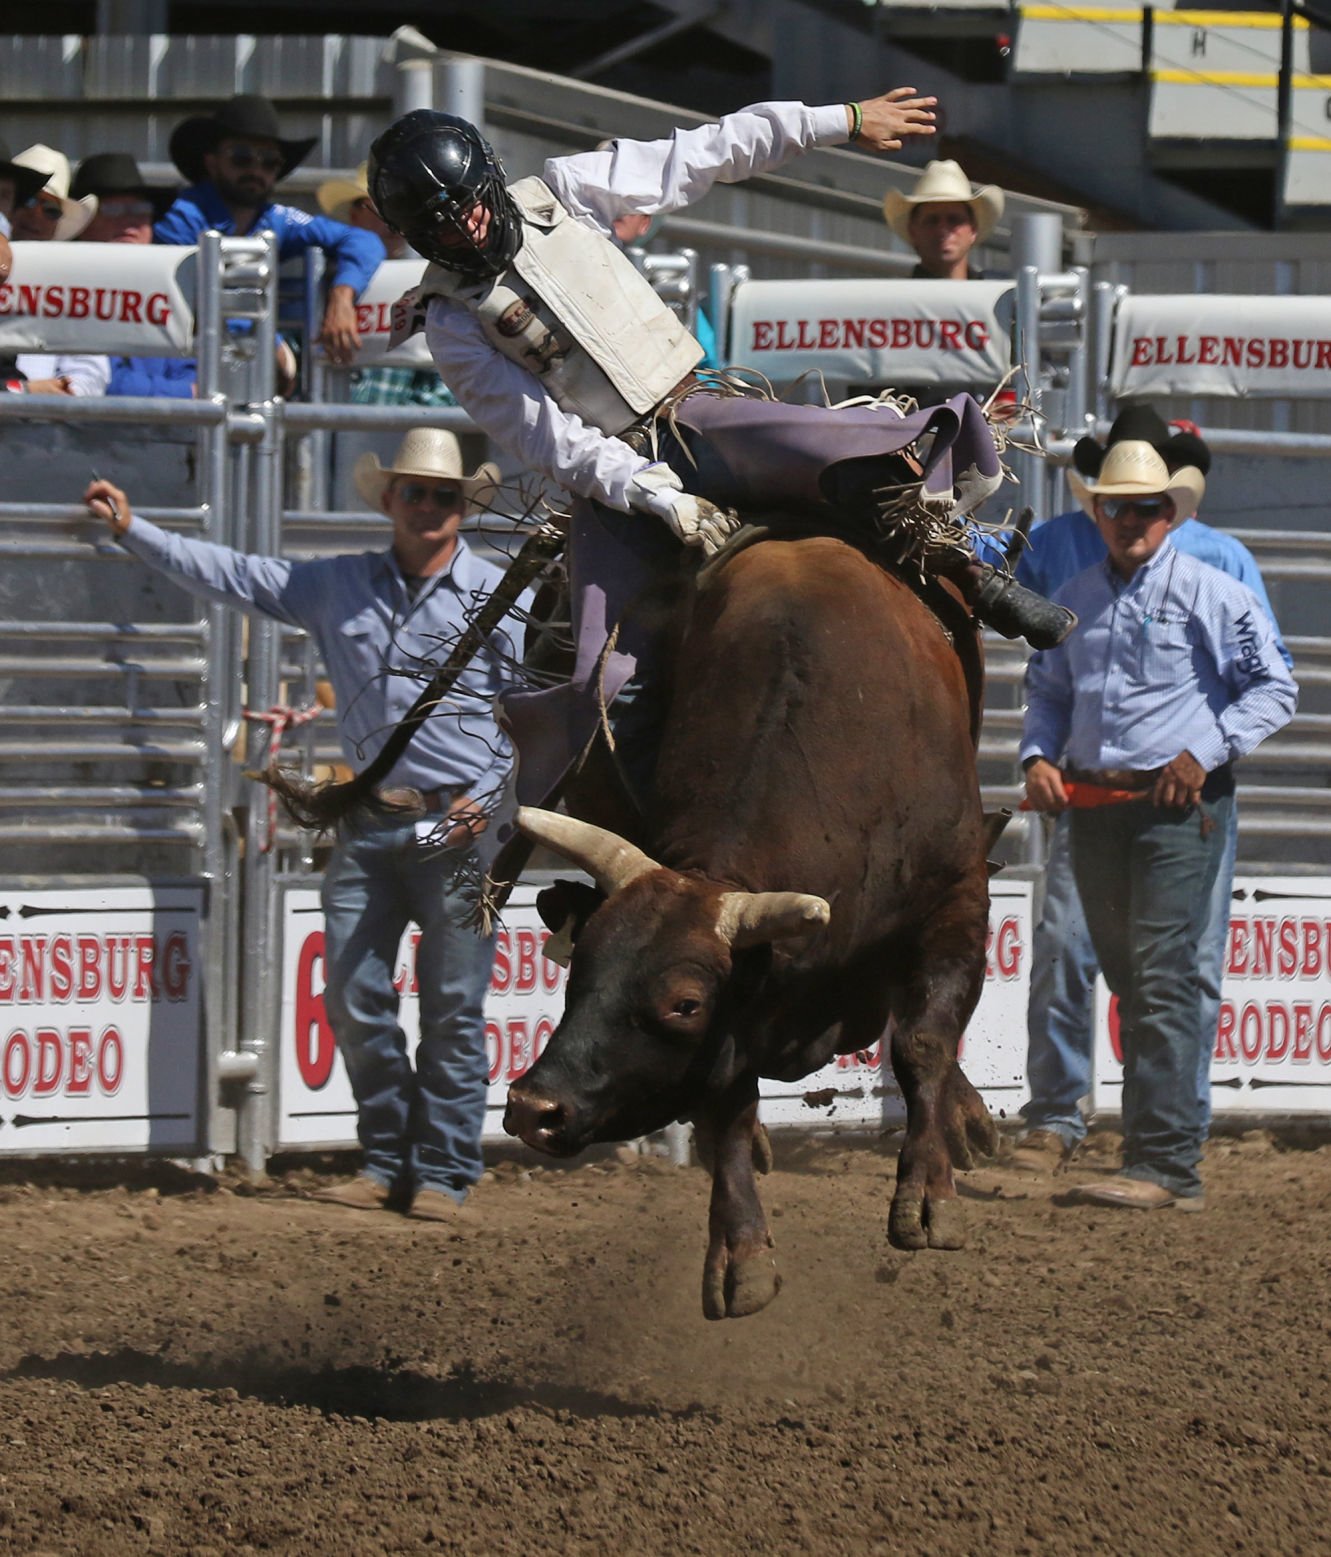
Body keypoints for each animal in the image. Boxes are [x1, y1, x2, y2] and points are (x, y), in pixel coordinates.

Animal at [507, 532, 996, 1314]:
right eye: (578, 970)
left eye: (684, 1003)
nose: (533, 1107)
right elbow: (727, 1100)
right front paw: (740, 1250)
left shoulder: (958, 895)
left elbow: (923, 1042)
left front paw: (927, 1194)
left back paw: (965, 1117)